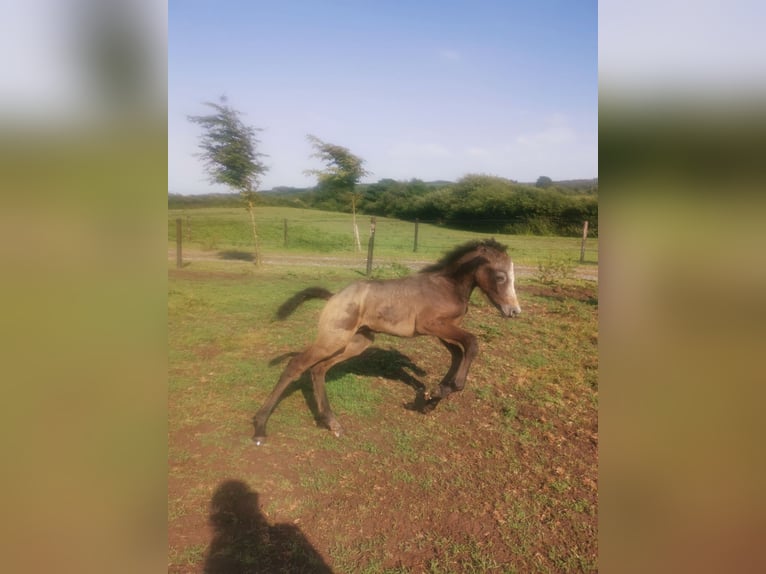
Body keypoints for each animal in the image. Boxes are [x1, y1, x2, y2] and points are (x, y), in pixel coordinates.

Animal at [254, 238, 520, 446]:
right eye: (500, 276)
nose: (514, 311)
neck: (447, 286)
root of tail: (333, 297)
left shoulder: (442, 331)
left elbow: (458, 353)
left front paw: (432, 398)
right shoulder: (432, 325)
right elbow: (472, 344)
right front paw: (443, 390)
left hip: (357, 342)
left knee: (318, 369)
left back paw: (332, 423)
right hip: (333, 338)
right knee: (297, 365)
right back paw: (259, 427)